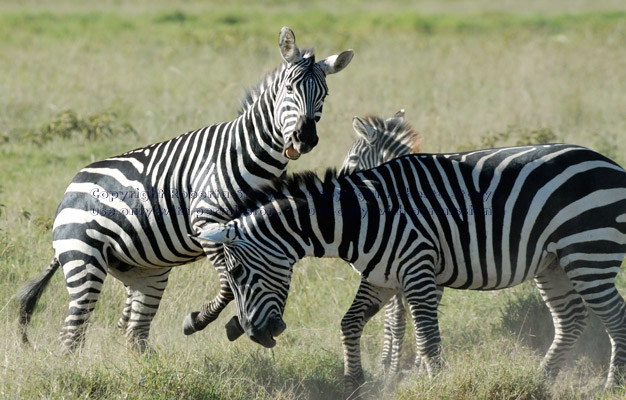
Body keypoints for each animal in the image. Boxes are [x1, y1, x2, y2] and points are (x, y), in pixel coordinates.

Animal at [18, 27, 352, 354]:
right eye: (290, 89)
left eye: (324, 95)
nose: (305, 137)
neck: (251, 154)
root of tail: (71, 188)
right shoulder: (207, 223)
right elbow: (229, 284)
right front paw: (200, 320)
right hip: (83, 257)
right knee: (72, 332)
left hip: (144, 271)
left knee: (134, 331)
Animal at [196, 145, 626, 396]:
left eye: (237, 273)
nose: (254, 334)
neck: (357, 218)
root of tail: (611, 164)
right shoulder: (381, 277)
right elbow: (349, 323)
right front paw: (354, 381)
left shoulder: (417, 269)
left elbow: (427, 338)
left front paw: (437, 384)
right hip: (553, 262)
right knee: (571, 319)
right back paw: (542, 379)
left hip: (588, 251)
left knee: (615, 316)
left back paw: (612, 383)